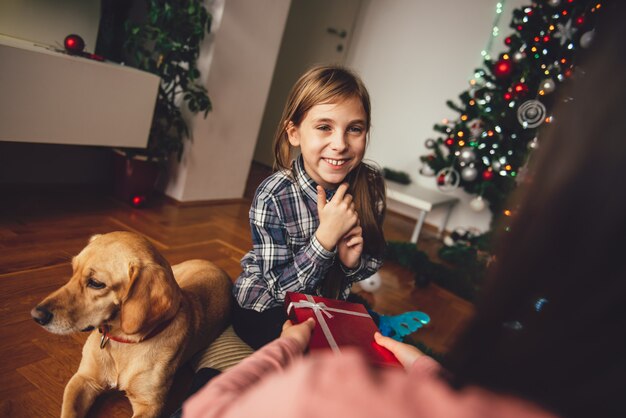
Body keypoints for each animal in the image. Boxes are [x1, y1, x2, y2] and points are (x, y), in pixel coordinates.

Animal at [31, 232, 232, 418]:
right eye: (73, 271)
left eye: (96, 283)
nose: (36, 315)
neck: (121, 341)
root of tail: (216, 266)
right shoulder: (83, 380)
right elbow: (69, 411)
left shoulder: (149, 405)